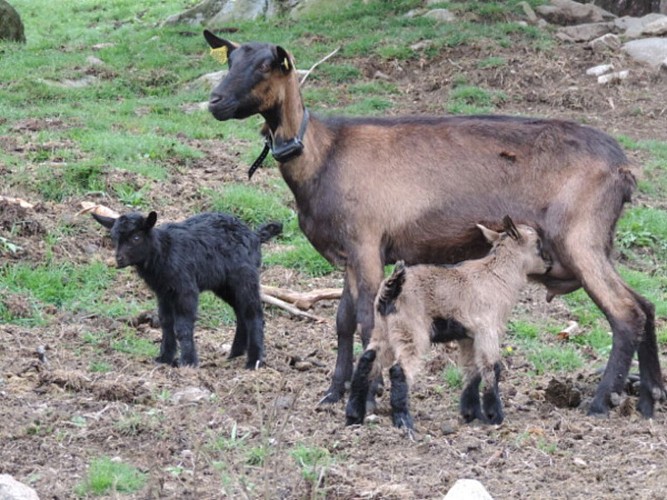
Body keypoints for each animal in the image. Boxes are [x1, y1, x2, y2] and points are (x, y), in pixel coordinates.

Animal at [92, 210, 282, 369]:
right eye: (113, 237)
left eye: (136, 237)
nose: (119, 259)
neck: (164, 251)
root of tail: (255, 235)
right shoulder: (163, 292)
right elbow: (166, 322)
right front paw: (165, 358)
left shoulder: (185, 288)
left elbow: (183, 325)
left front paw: (188, 362)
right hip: (224, 284)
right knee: (240, 313)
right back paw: (235, 354)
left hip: (245, 277)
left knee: (254, 314)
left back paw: (254, 362)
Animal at [345, 216, 550, 430]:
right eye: (538, 243)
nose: (549, 264)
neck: (497, 276)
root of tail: (391, 290)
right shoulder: (488, 330)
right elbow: (491, 368)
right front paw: (495, 416)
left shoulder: (469, 337)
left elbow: (472, 371)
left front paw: (472, 414)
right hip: (411, 332)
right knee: (398, 370)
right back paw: (404, 422)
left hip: (383, 330)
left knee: (366, 361)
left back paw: (353, 416)